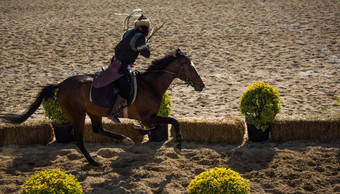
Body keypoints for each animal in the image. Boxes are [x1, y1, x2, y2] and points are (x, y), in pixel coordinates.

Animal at [1, 49, 205, 166]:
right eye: (189, 67)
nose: (201, 85)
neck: (150, 85)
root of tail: (61, 85)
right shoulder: (149, 116)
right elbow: (173, 121)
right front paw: (178, 145)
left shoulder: (150, 117)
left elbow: (158, 126)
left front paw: (138, 131)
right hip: (78, 115)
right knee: (79, 140)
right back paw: (94, 162)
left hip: (93, 112)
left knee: (98, 129)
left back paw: (124, 139)